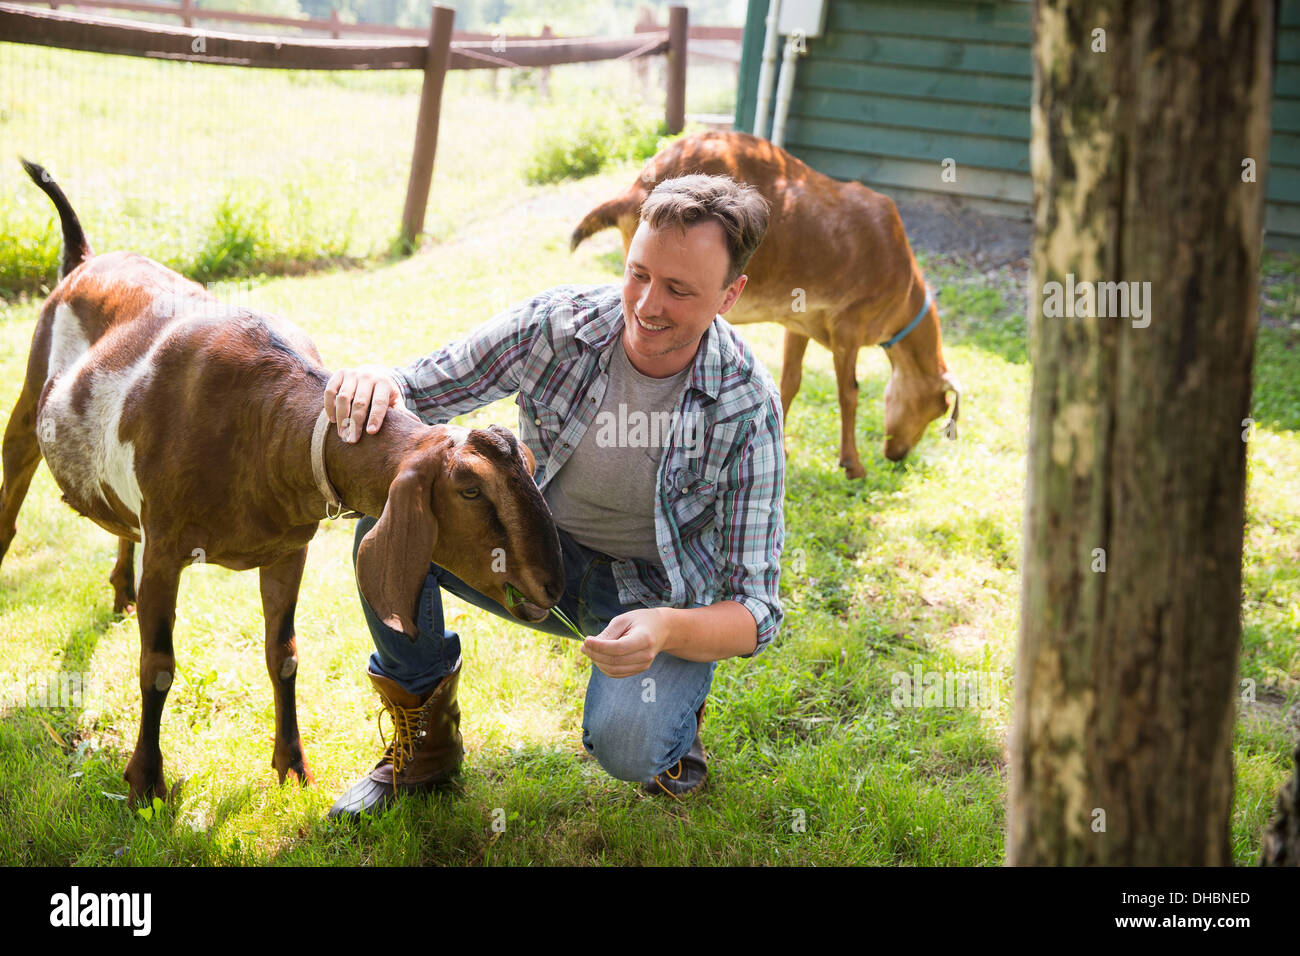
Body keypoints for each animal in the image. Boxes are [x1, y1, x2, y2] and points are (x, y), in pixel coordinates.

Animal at [3, 162, 564, 801]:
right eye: (470, 488)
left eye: (526, 462)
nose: (552, 586)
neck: (263, 425)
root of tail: (83, 259)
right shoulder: (167, 550)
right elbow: (157, 666)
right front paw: (146, 782)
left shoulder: (286, 552)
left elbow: (285, 655)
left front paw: (292, 764)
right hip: (28, 401)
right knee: (10, 506)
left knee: (122, 526)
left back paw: (122, 587)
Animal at [574, 132, 961, 476]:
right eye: (935, 410)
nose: (897, 454)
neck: (903, 288)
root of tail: (635, 190)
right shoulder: (848, 323)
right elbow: (849, 392)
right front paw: (853, 464)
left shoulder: (799, 321)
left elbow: (790, 381)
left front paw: (783, 448)